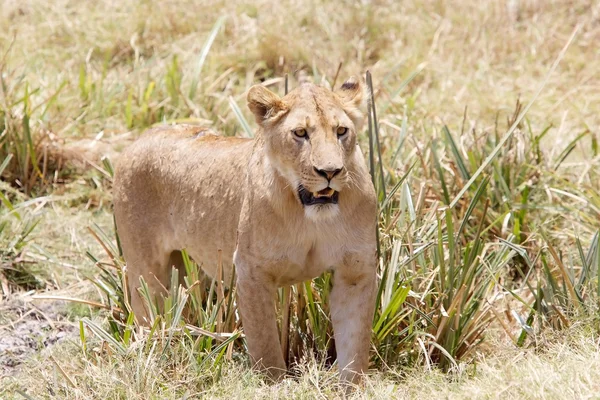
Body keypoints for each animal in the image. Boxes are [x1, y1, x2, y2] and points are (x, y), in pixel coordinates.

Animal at [112, 78, 376, 384]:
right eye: (300, 133)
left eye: (341, 131)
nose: (330, 171)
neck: (310, 217)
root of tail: (142, 137)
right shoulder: (252, 271)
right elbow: (265, 344)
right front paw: (274, 385)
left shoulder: (355, 271)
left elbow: (354, 345)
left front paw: (351, 386)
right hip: (146, 272)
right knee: (147, 312)